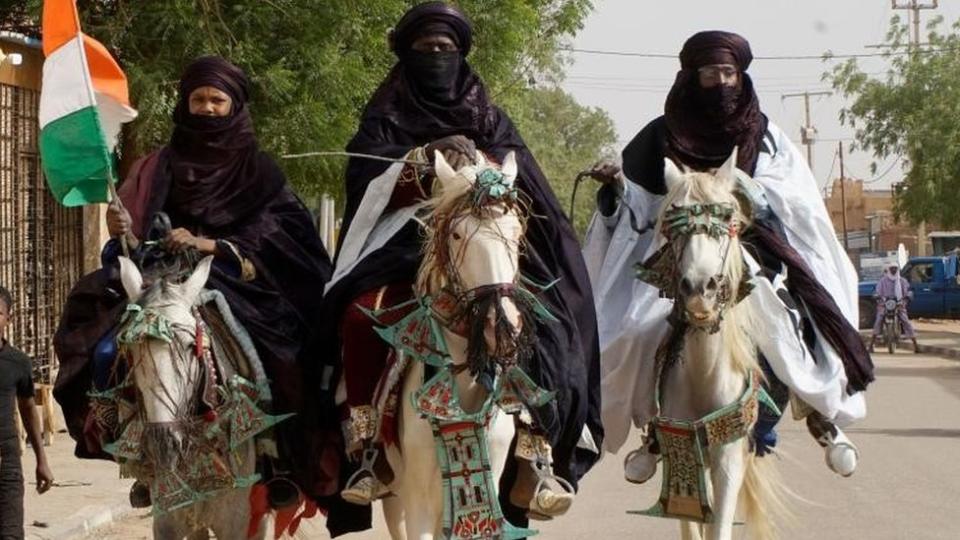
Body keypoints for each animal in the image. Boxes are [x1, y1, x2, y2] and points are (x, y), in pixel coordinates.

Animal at [644, 153, 788, 540]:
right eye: (673, 223)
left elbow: (719, 525)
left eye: (728, 220)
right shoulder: (682, 454)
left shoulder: (727, 460)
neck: (704, 375)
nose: (699, 289)